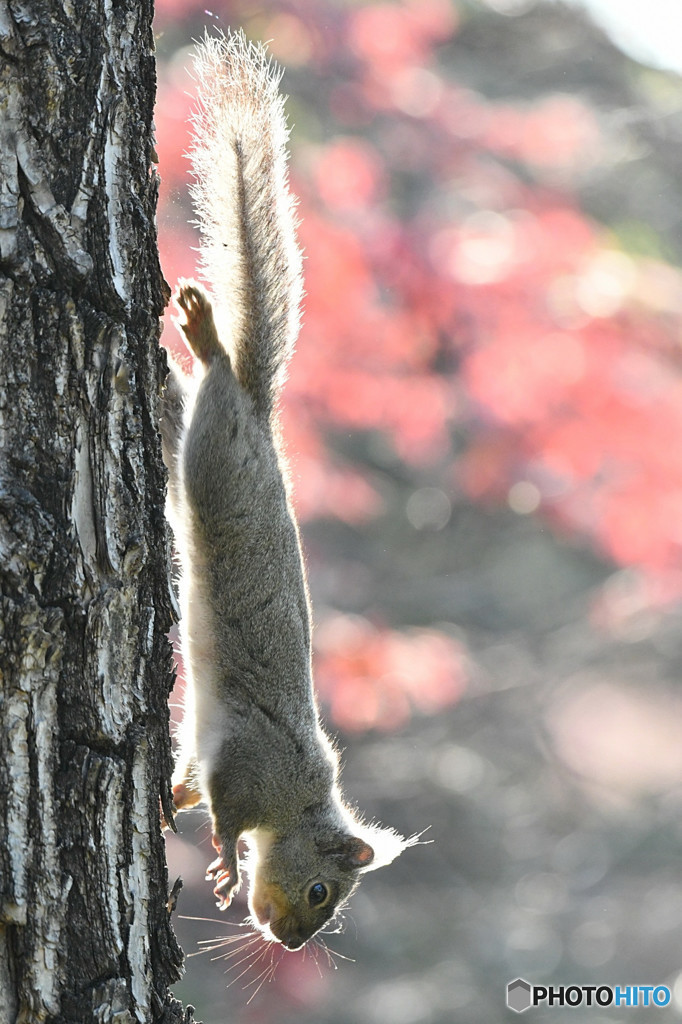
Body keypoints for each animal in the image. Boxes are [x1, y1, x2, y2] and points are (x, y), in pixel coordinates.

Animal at [160, 32, 409, 950]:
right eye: (320, 892)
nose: (292, 940)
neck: (298, 801)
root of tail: (264, 417)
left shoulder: (210, 748)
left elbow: (191, 772)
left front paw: (171, 797)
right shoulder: (249, 769)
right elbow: (229, 813)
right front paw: (228, 867)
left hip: (198, 452)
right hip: (216, 458)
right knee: (216, 376)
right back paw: (206, 335)